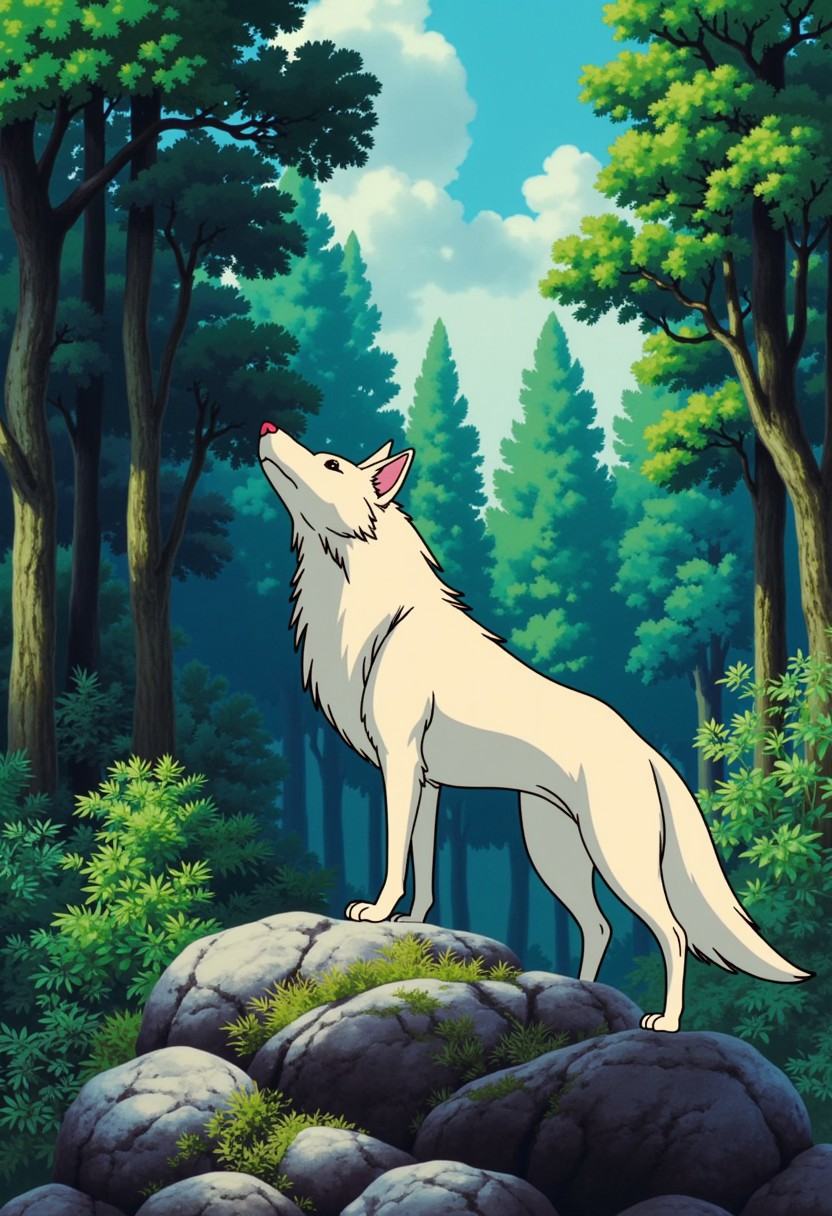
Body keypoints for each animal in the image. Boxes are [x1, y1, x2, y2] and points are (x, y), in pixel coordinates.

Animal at [258, 422, 810, 1031]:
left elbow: (395, 858)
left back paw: (665, 1022)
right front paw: (412, 921)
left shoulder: (400, 768)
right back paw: (581, 990)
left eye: (330, 464)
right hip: (554, 854)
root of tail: (648, 752)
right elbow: (423, 866)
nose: (266, 428)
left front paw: (377, 912)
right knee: (600, 926)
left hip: (617, 861)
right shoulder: (427, 785)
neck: (377, 617)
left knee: (672, 932)